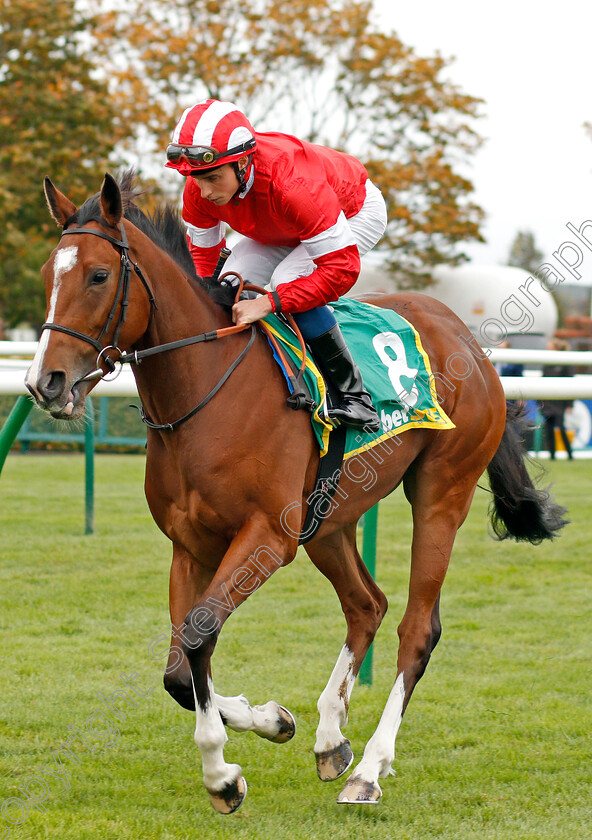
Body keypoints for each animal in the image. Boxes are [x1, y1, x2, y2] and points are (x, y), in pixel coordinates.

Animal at [25, 172, 568, 812]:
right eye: (47, 273)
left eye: (98, 276)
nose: (44, 382)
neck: (203, 394)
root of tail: (467, 337)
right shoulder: (191, 544)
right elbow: (181, 665)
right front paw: (266, 721)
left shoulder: (267, 536)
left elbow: (197, 639)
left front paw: (222, 775)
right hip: (329, 519)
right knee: (367, 605)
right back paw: (331, 737)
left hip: (442, 492)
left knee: (418, 629)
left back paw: (371, 769)